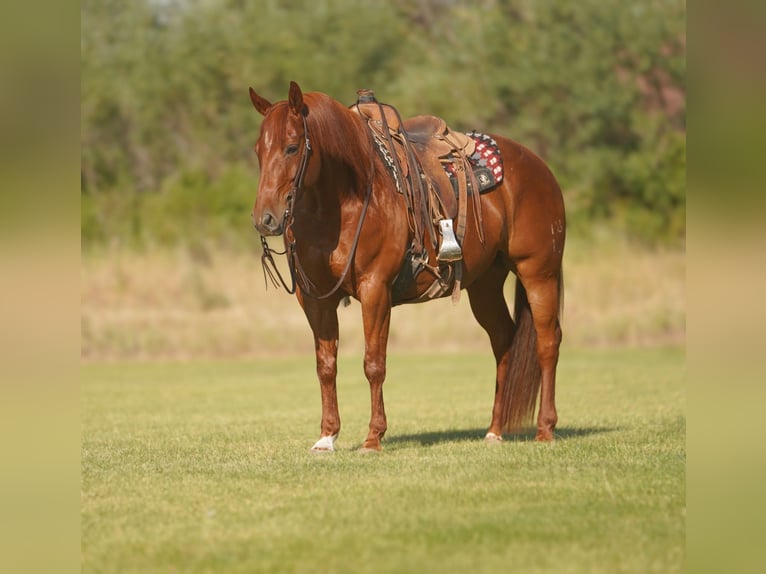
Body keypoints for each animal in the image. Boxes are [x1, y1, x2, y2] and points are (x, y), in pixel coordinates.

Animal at [248, 81, 565, 452]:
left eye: (292, 146)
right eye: (258, 150)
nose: (265, 219)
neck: (345, 200)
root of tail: (540, 168)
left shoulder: (376, 290)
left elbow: (374, 363)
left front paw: (373, 437)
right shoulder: (315, 300)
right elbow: (326, 365)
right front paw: (327, 437)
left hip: (538, 273)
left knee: (547, 342)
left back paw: (545, 428)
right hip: (485, 284)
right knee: (504, 340)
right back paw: (494, 431)